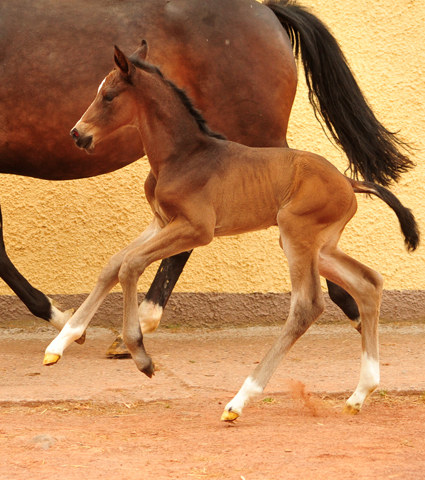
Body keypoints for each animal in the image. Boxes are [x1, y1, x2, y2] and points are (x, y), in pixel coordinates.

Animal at [0, 0, 410, 344]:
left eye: (109, 96)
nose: (76, 133)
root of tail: (268, 10)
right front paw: (66, 323)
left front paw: (58, 317)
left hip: (259, 140)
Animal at [44, 45, 418, 420]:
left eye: (108, 96)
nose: (77, 133)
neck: (182, 156)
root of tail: (348, 181)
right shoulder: (161, 222)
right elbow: (113, 265)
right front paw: (60, 343)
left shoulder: (197, 229)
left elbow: (130, 265)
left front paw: (140, 355)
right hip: (320, 247)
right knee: (368, 283)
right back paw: (360, 393)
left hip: (296, 234)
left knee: (307, 305)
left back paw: (241, 399)